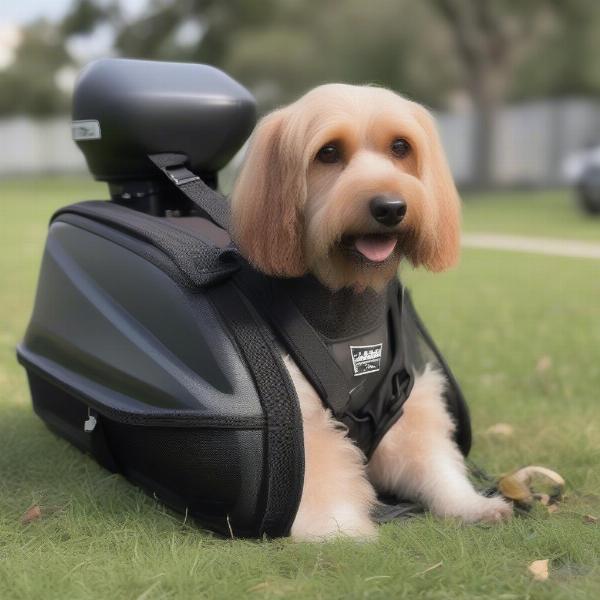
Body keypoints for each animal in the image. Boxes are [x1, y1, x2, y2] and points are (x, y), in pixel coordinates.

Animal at [230, 84, 510, 540]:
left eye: (400, 147)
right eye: (327, 153)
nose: (391, 207)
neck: (348, 303)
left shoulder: (408, 408)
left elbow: (434, 463)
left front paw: (469, 504)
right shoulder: (306, 420)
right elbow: (321, 480)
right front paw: (339, 531)